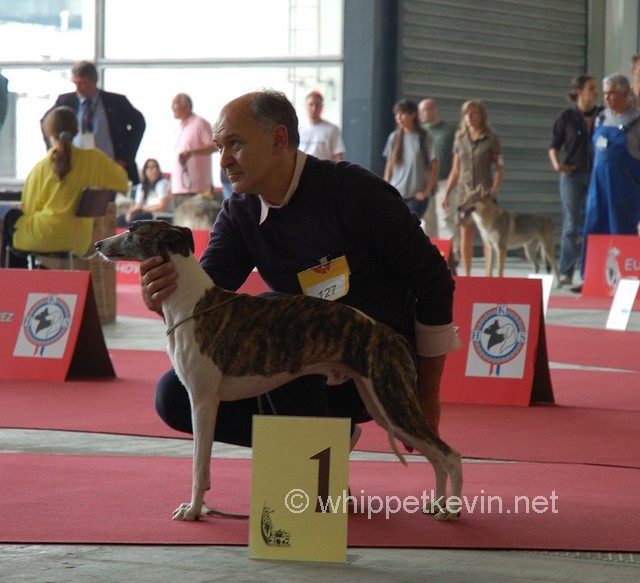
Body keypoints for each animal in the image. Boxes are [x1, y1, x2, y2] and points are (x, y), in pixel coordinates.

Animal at [95, 221, 462, 524]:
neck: (190, 303)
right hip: (380, 403)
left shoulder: (203, 401)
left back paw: (452, 510)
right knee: (434, 457)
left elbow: (199, 466)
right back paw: (437, 504)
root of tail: (391, 335)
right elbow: (205, 464)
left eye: (132, 230)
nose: (98, 243)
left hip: (392, 400)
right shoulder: (204, 402)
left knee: (449, 454)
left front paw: (194, 510)